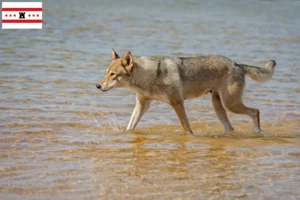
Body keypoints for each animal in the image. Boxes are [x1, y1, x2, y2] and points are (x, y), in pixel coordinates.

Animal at [96, 49, 276, 135]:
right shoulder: (142, 104)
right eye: (106, 72)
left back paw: (258, 132)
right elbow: (130, 126)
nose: (97, 86)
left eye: (113, 74)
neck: (150, 75)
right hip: (219, 107)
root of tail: (238, 64)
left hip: (231, 104)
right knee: (230, 127)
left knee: (255, 111)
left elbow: (187, 128)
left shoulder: (177, 103)